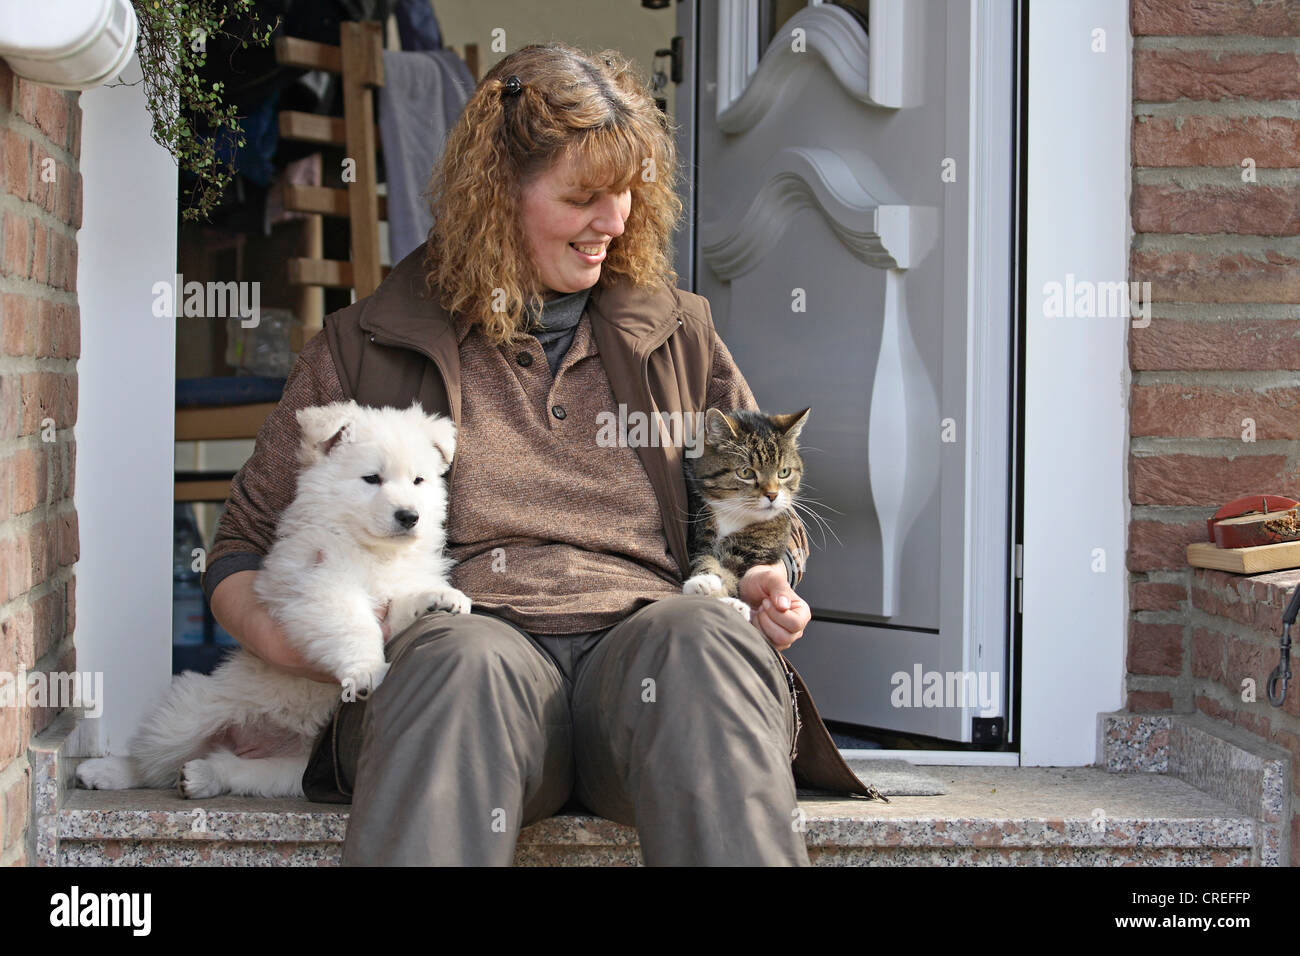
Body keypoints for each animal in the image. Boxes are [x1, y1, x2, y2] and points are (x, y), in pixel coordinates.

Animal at [77, 403, 473, 801]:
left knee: (231, 770)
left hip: (292, 771)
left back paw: (202, 776)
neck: (372, 550)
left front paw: (439, 598)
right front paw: (366, 670)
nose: (409, 516)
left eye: (418, 481)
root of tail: (249, 739)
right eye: (372, 479)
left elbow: (403, 601)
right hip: (189, 712)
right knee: (151, 762)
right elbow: (355, 626)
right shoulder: (320, 588)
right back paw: (104, 771)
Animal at [681, 405, 811, 621]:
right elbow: (703, 557)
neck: (734, 514)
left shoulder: (753, 550)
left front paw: (728, 599)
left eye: (784, 472)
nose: (772, 494)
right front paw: (705, 581)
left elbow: (732, 574)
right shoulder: (699, 530)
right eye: (745, 473)